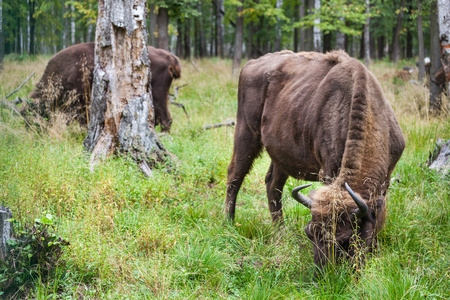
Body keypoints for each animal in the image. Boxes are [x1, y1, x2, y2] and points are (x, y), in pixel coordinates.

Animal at [227, 49, 406, 270]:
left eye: (344, 239)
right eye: (310, 234)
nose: (322, 272)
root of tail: (251, 63)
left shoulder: (386, 178)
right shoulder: (328, 170)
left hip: (281, 154)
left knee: (272, 184)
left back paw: (280, 231)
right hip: (246, 134)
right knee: (235, 175)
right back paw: (229, 223)